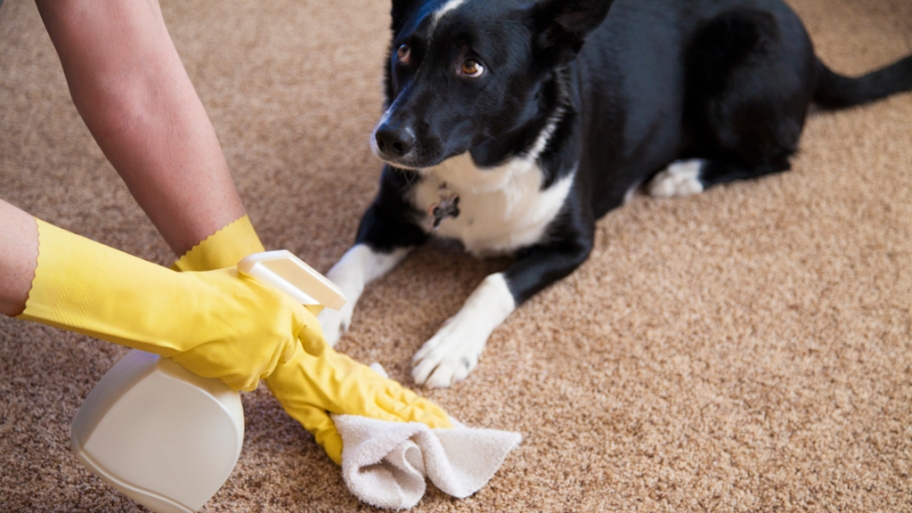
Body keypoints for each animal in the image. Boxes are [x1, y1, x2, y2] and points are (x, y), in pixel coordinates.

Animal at [316, 0, 912, 386]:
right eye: (404, 53)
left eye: (472, 65)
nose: (388, 138)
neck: (478, 170)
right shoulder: (389, 216)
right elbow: (347, 263)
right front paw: (317, 312)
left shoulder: (574, 244)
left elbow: (492, 283)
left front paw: (452, 345)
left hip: (732, 81)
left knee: (778, 157)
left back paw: (682, 174)